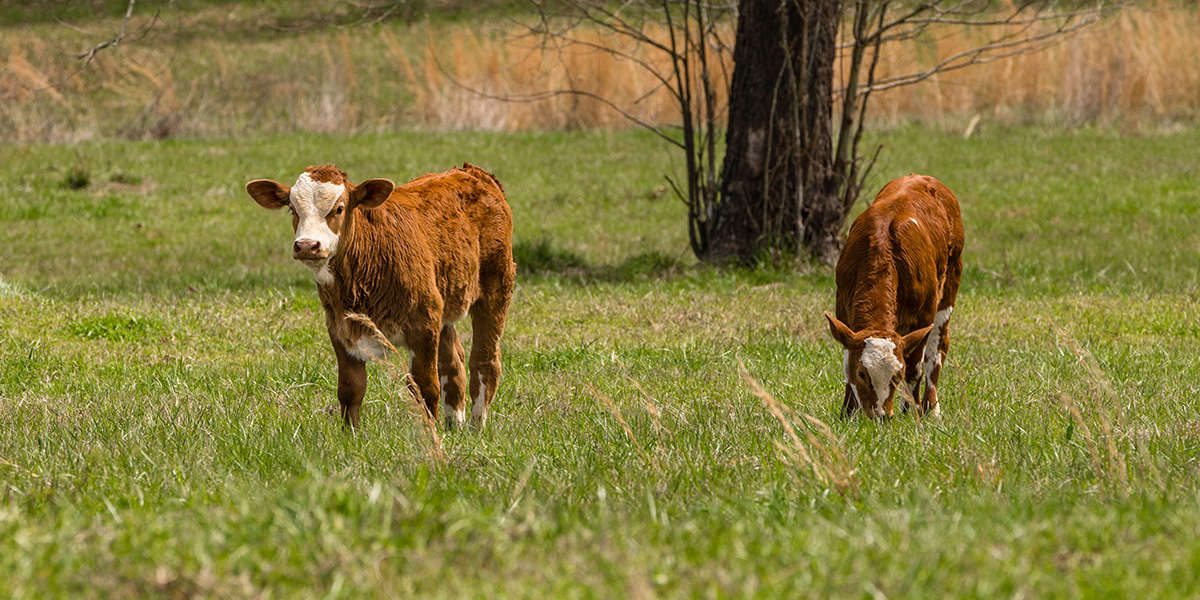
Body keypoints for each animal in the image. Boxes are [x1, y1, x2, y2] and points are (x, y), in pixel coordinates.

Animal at [245, 163, 515, 430]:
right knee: (453, 361)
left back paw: (476, 426)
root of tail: (472, 172)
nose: (307, 245)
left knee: (484, 361)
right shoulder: (340, 327)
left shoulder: (424, 324)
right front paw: (351, 437)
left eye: (339, 208)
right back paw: (454, 424)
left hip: (496, 288)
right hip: (444, 300)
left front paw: (432, 436)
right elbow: (350, 389)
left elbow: (426, 386)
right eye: (292, 208)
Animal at [824, 174, 964, 419]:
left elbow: (914, 368)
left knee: (937, 348)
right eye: (862, 374)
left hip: (949, 289)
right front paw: (848, 412)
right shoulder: (843, 313)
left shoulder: (923, 318)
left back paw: (930, 408)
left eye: (896, 376)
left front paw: (910, 413)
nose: (880, 415)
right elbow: (847, 363)